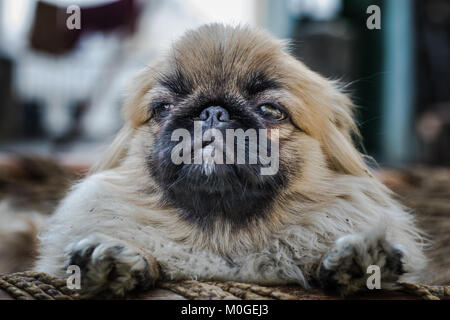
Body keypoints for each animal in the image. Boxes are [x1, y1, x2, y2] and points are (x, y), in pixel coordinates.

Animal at [35, 24, 426, 298]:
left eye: (271, 111)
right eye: (162, 108)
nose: (213, 112)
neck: (222, 238)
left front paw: (357, 260)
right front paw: (117, 259)